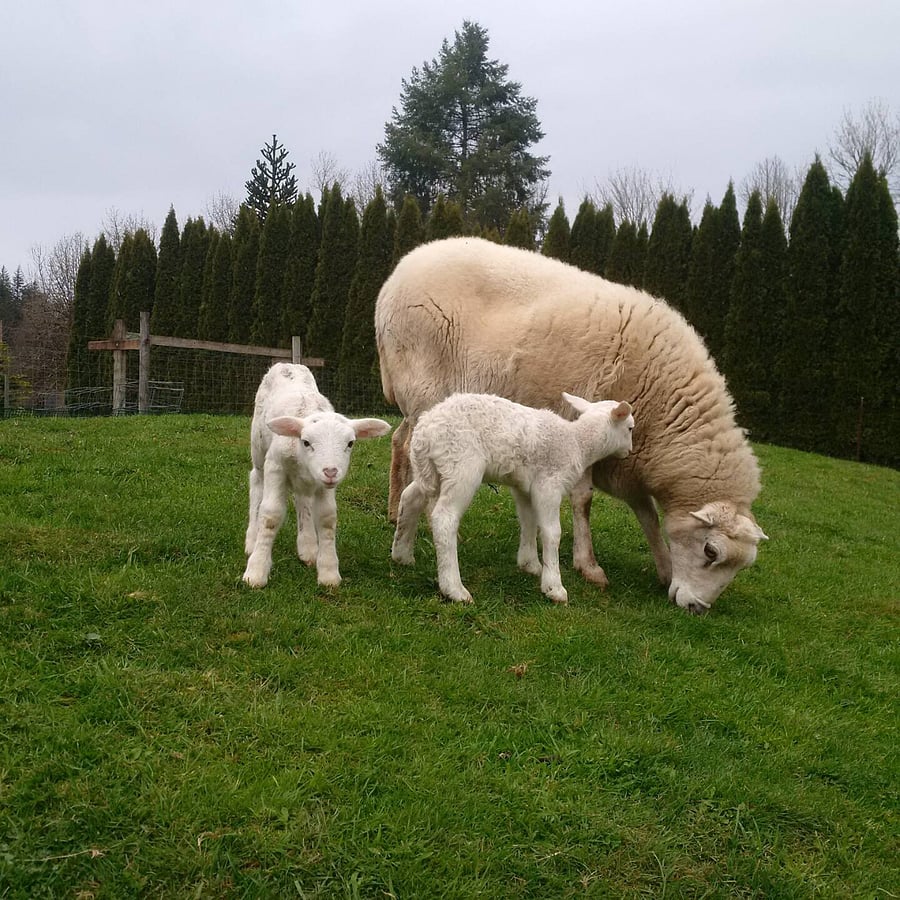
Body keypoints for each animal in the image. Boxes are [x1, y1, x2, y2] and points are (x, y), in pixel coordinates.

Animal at [242, 363, 391, 589]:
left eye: (350, 443)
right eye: (306, 442)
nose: (330, 471)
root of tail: (288, 364)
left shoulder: (324, 485)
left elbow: (327, 518)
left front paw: (329, 572)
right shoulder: (275, 466)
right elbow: (270, 516)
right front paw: (256, 571)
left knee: (302, 499)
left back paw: (308, 547)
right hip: (258, 448)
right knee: (256, 484)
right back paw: (252, 540)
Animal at [391, 391, 635, 605]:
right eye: (631, 428)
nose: (630, 452)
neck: (577, 442)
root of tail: (424, 431)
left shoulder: (524, 488)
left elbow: (529, 522)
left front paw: (531, 565)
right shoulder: (549, 485)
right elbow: (552, 533)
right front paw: (554, 587)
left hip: (431, 471)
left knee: (410, 497)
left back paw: (402, 554)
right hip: (460, 466)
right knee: (444, 519)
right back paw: (454, 589)